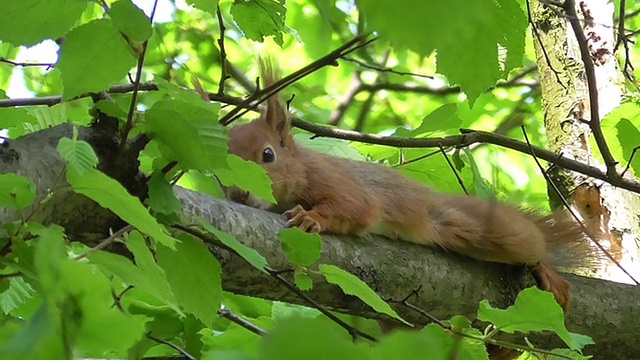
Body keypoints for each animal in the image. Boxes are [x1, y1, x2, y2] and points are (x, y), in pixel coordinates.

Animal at [225, 64, 592, 312]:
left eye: (268, 154)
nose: (238, 193)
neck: (300, 166)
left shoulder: (331, 177)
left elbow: (357, 207)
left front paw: (310, 217)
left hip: (484, 228)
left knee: (530, 243)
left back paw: (546, 268)